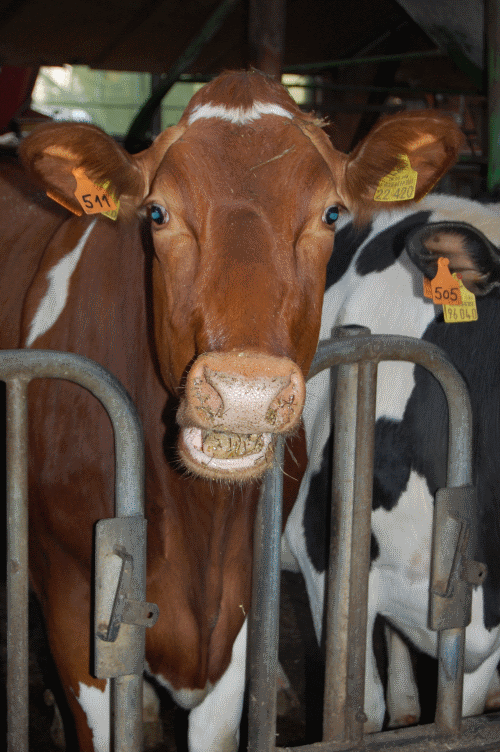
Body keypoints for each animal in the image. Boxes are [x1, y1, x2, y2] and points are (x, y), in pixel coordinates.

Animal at [0, 70, 462, 752]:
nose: (246, 392)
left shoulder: (240, 600)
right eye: (157, 212)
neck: (195, 518)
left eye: (332, 213)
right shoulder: (73, 595)